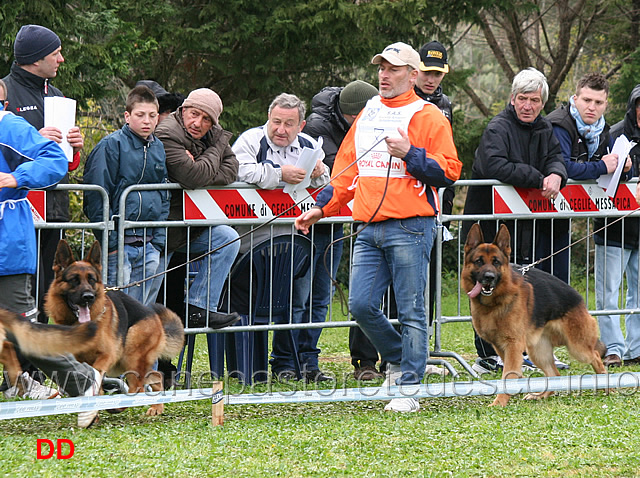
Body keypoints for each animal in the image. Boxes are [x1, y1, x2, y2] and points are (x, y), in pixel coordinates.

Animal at [460, 222, 604, 406]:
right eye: (478, 261)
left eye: (496, 262)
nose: (489, 277)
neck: (495, 303)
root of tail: (579, 298)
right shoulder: (501, 347)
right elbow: (510, 372)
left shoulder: (513, 345)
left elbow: (508, 375)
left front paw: (500, 401)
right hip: (538, 351)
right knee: (554, 374)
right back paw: (540, 395)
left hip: (578, 347)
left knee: (596, 357)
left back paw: (608, 387)